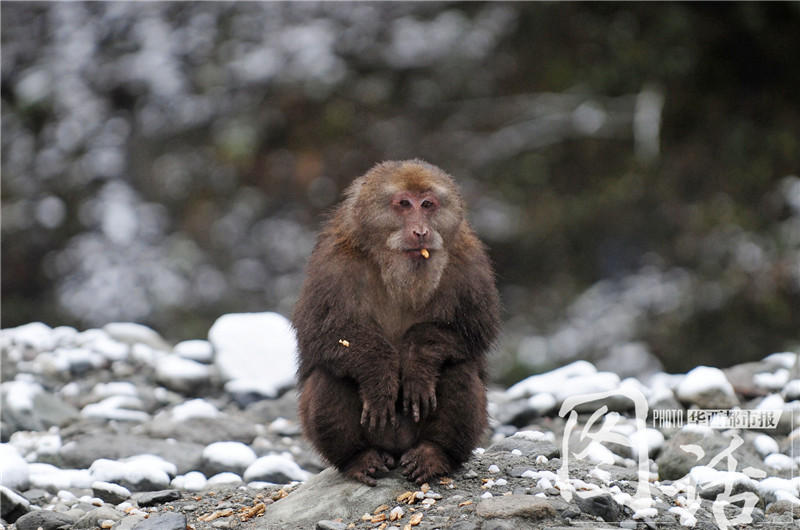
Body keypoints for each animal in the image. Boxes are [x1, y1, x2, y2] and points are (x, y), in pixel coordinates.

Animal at [292, 158, 500, 482]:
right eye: (403, 204)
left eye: (427, 204)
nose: (421, 231)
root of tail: (397, 447)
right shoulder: (333, 262)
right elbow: (322, 332)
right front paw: (379, 374)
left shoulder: (468, 260)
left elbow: (474, 327)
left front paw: (418, 361)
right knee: (330, 374)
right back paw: (358, 459)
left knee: (458, 367)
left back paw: (434, 454)